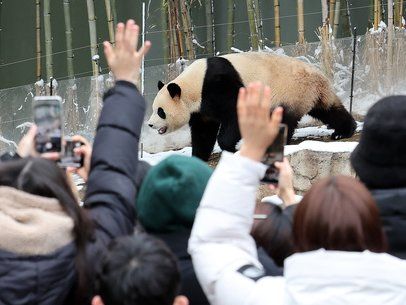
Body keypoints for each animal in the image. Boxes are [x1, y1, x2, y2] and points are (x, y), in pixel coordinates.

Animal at [147, 51, 356, 162]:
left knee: (284, 119)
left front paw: (230, 147)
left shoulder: (218, 85)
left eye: (160, 111)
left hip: (291, 91)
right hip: (308, 94)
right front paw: (198, 156)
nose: (150, 124)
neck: (194, 85)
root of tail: (320, 77)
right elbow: (203, 131)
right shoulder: (202, 108)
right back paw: (344, 130)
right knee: (328, 109)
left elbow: (235, 114)